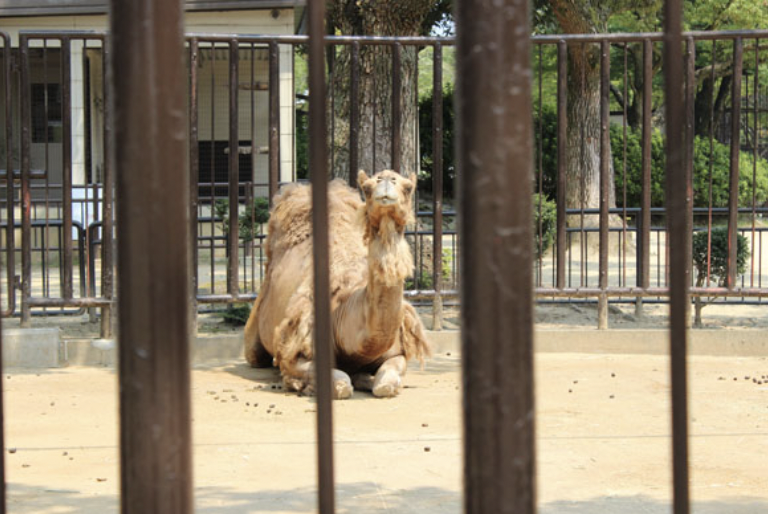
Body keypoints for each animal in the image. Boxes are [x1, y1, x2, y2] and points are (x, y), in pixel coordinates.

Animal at [243, 170, 428, 398]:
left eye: (408, 187)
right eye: (367, 188)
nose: (385, 179)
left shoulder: (396, 353)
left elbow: (385, 385)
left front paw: (366, 378)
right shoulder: (294, 352)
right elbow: (341, 384)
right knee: (255, 354)